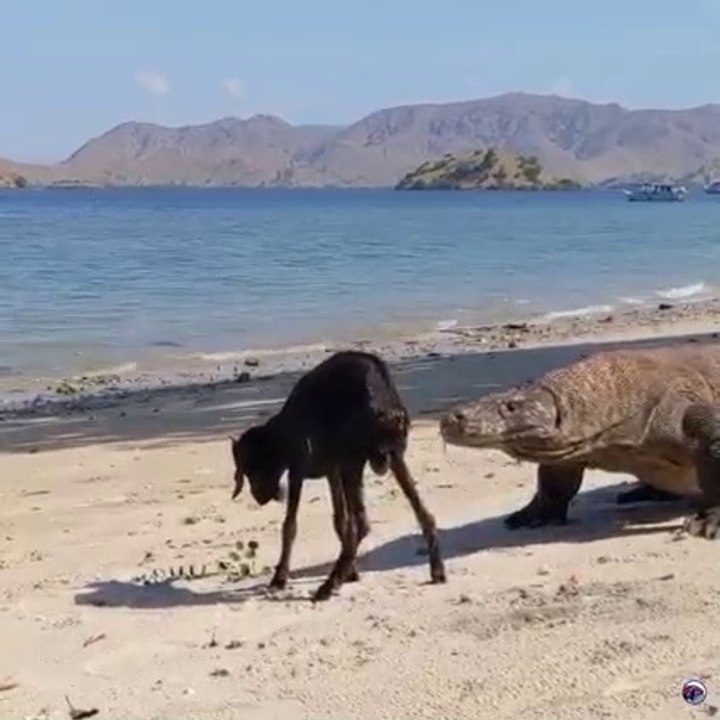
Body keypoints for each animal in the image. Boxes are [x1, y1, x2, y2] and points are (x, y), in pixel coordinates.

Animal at [230, 350, 446, 601]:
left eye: (250, 469)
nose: (259, 498)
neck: (281, 433)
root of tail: (383, 400)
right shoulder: (332, 471)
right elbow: (339, 522)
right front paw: (351, 572)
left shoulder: (298, 472)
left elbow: (290, 526)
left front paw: (280, 577)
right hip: (392, 458)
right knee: (424, 515)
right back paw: (436, 569)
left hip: (354, 464)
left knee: (361, 524)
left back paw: (329, 584)